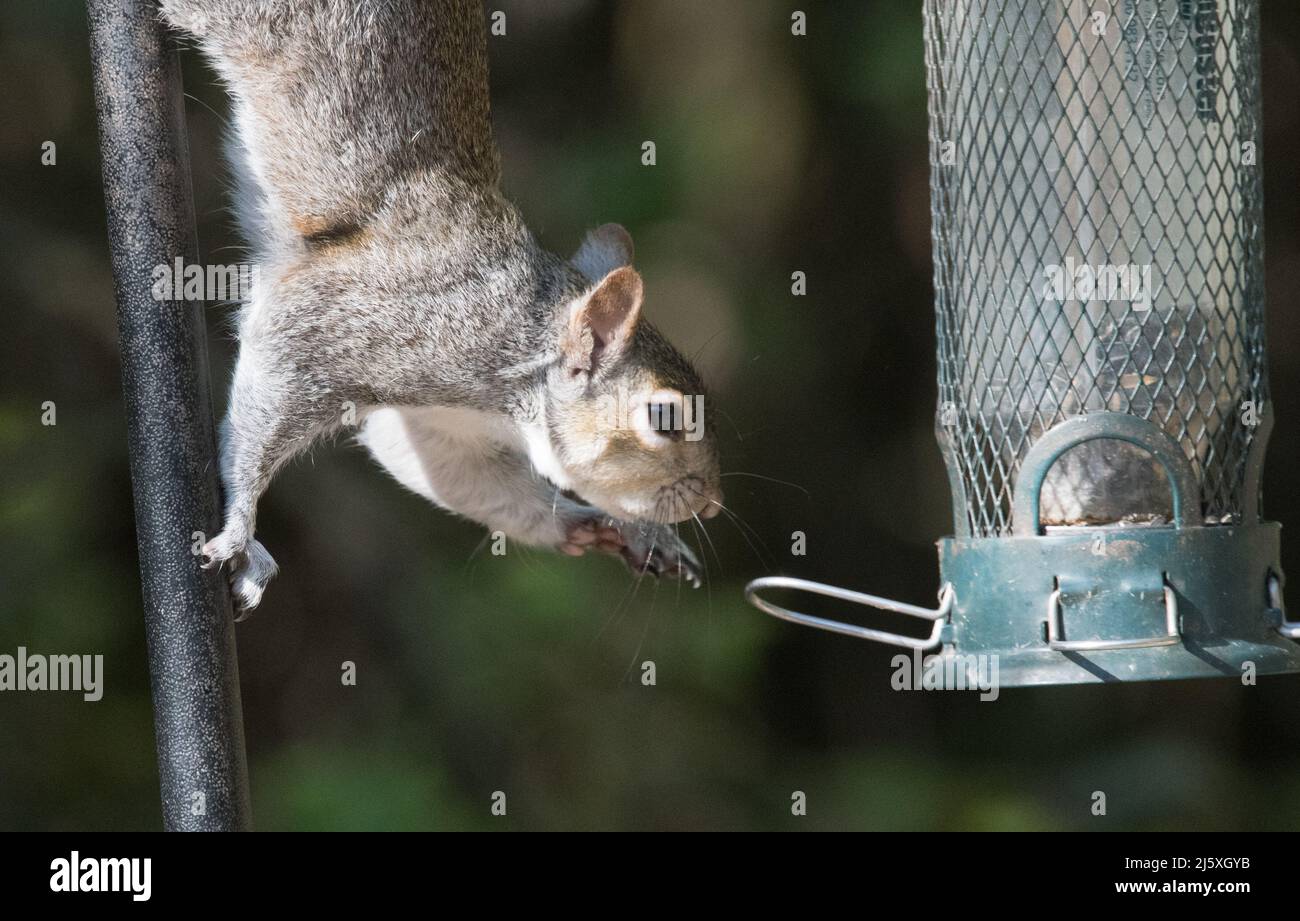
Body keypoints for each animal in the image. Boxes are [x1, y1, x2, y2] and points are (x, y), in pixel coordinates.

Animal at [158, 5, 728, 619]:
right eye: (664, 418)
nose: (711, 503)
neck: (518, 349)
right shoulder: (348, 324)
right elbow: (276, 388)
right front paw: (241, 532)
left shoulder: (434, 424)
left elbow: (455, 471)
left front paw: (600, 526)